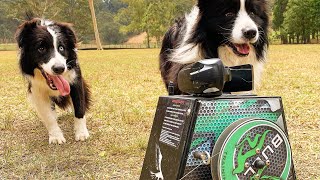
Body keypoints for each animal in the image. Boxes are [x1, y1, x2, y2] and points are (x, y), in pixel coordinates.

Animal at [16, 17, 91, 145]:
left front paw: (81, 134)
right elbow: (48, 116)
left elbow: (79, 105)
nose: (59, 68)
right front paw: (56, 137)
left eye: (61, 48)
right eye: (41, 48)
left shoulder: (75, 78)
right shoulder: (37, 90)